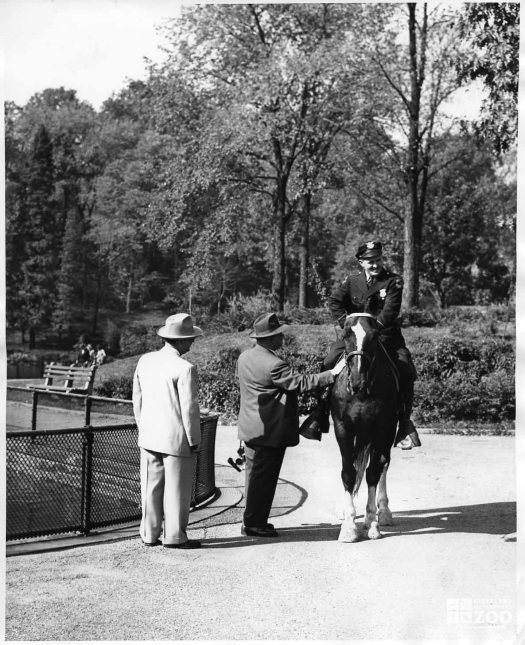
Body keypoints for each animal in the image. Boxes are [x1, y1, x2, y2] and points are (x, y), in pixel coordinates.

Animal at [330, 314, 400, 540]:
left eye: (375, 335)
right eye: (345, 334)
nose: (357, 381)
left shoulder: (381, 429)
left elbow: (373, 473)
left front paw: (371, 522)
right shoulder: (343, 428)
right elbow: (348, 472)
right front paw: (349, 526)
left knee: (383, 464)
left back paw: (383, 511)